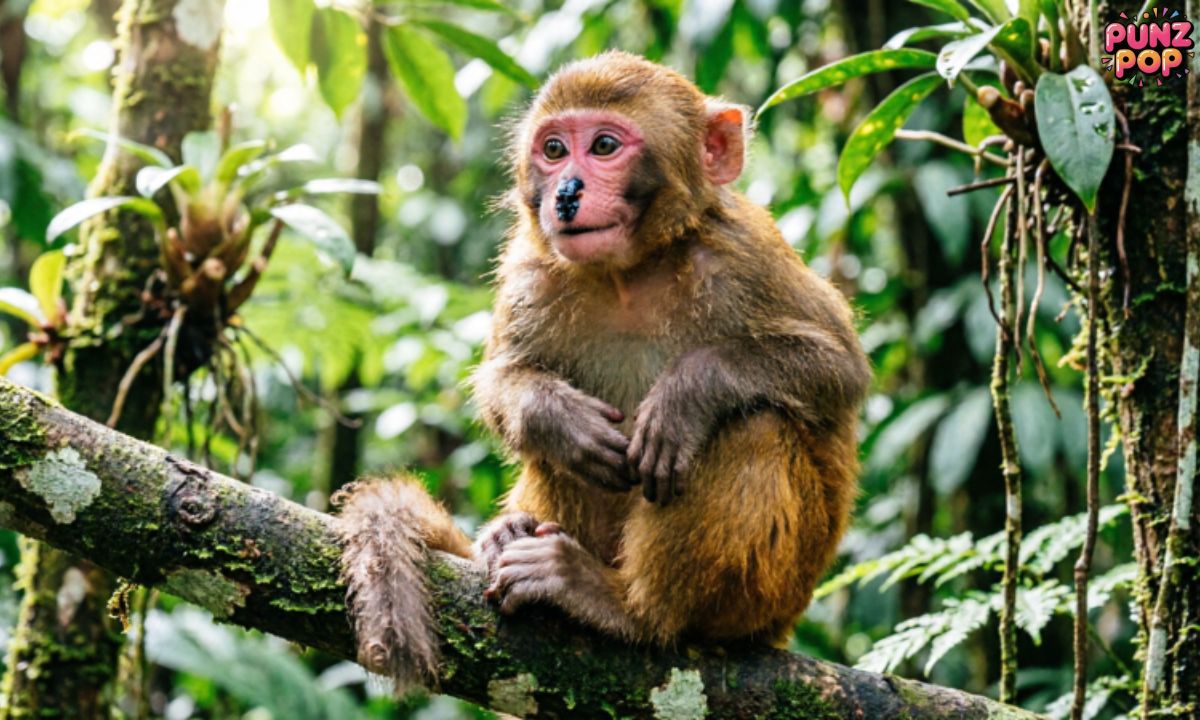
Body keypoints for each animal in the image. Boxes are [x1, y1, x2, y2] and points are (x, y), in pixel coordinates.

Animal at [335, 50, 871, 691]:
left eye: (606, 145)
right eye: (554, 149)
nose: (567, 192)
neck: (630, 274)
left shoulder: (745, 254)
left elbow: (837, 369)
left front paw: (685, 395)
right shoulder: (531, 271)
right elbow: (503, 379)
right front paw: (559, 419)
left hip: (770, 597)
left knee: (752, 425)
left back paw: (625, 606)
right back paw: (515, 533)